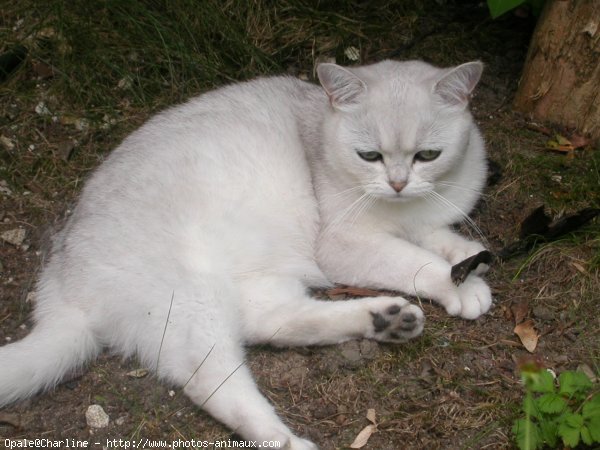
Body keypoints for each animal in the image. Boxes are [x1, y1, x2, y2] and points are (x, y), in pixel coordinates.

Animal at [0, 60, 492, 450]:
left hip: (254, 287)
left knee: (275, 324)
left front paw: (469, 259)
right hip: (194, 301)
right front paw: (457, 283)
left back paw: (385, 320)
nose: (397, 183)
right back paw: (288, 440)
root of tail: (58, 281)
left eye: (428, 155)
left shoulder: (427, 218)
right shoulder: (343, 244)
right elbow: (414, 260)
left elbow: (443, 240)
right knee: (213, 381)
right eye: (369, 155)